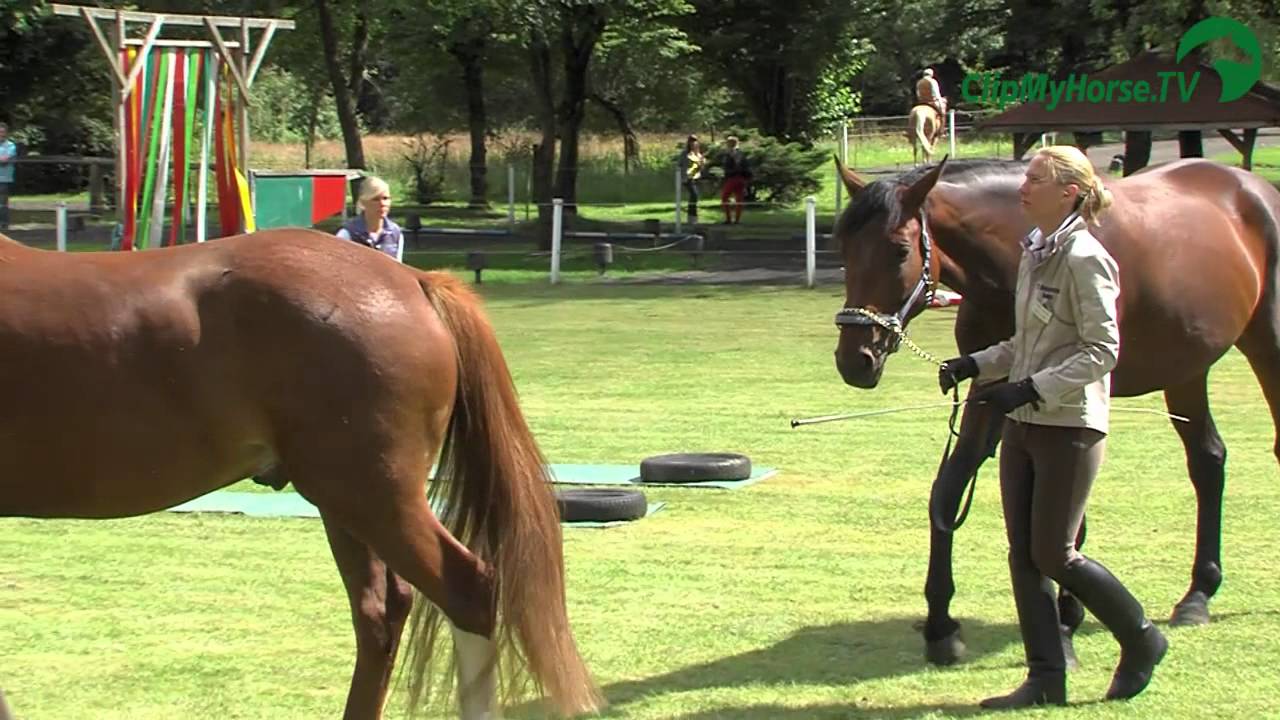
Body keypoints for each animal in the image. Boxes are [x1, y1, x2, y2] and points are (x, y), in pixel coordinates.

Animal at [829, 156, 1280, 667]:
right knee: (1207, 460)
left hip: (1266, 344)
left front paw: (1065, 619)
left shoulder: (1068, 391)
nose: (855, 360)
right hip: (1187, 366)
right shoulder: (993, 388)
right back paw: (1198, 594)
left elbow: (1062, 513)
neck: (1017, 258)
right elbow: (950, 492)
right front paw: (942, 627)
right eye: (844, 247)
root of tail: (1253, 187)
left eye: (900, 250)